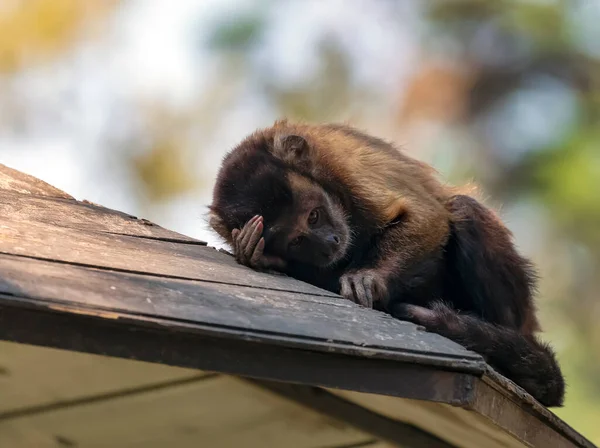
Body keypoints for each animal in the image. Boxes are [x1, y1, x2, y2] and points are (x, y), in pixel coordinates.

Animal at [209, 119, 564, 406]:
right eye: (296, 241)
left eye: (314, 216)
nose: (328, 243)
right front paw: (253, 250)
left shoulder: (343, 164)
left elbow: (428, 217)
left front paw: (370, 278)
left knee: (464, 210)